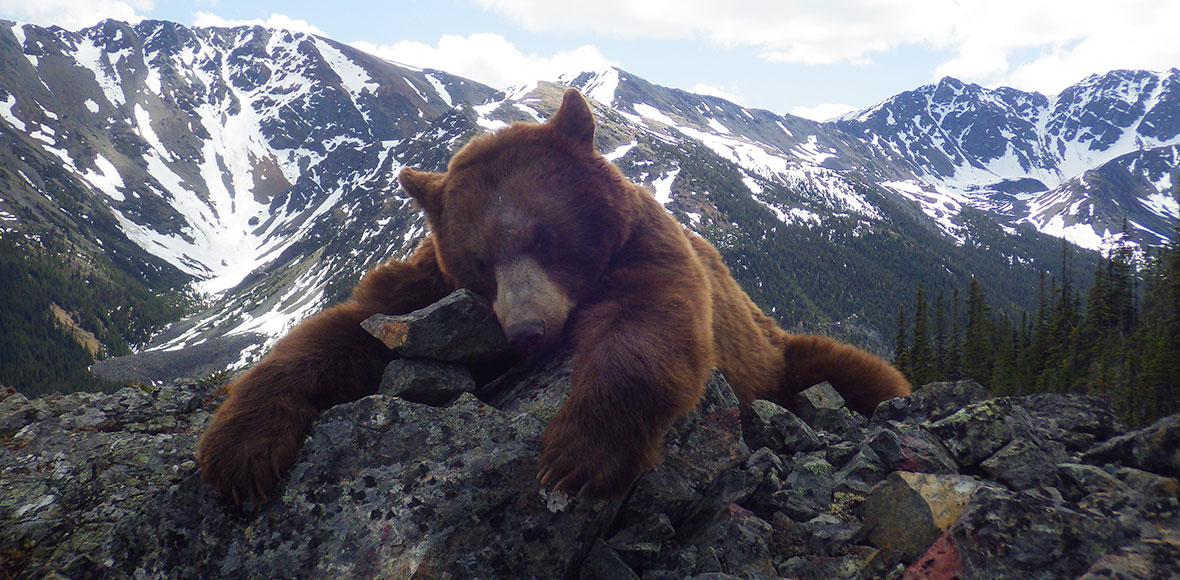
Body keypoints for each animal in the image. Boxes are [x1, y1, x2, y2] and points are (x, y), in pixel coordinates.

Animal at [195, 87, 910, 502]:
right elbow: (346, 329)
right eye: (481, 260)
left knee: (859, 371)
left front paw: (576, 453)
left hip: (782, 352)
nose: (528, 332)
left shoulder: (648, 252)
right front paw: (237, 450)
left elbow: (651, 326)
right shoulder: (428, 285)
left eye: (546, 235)